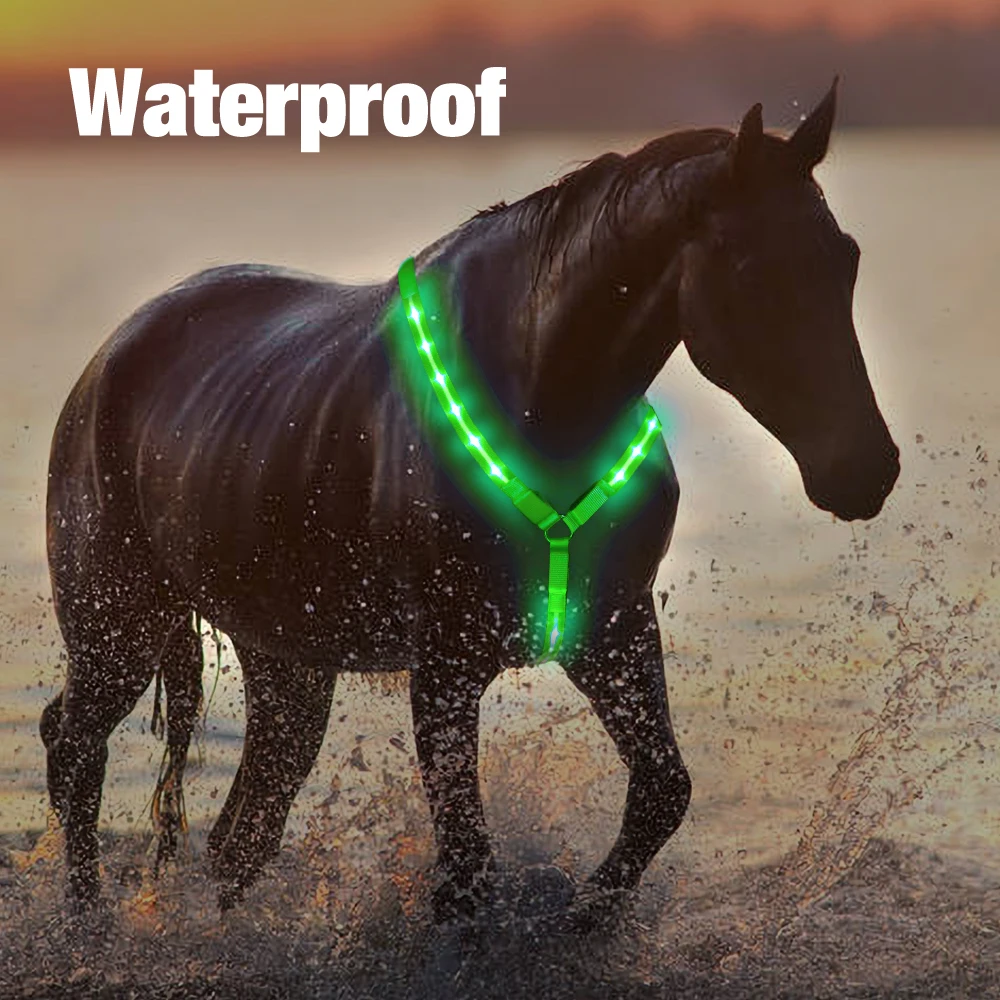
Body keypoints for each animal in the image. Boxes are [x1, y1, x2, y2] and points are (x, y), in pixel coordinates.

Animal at [40, 80, 899, 925]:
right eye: (754, 271)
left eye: (849, 257)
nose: (867, 468)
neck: (542, 400)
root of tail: (107, 359)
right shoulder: (446, 665)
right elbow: (466, 869)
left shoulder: (613, 631)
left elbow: (662, 792)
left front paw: (587, 914)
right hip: (119, 625)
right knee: (73, 748)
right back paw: (85, 920)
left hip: (286, 659)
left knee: (243, 828)